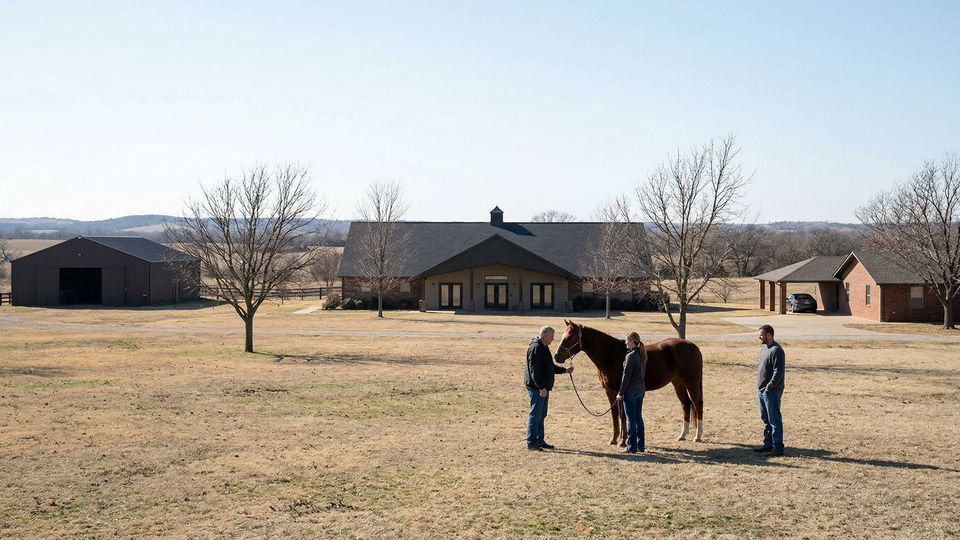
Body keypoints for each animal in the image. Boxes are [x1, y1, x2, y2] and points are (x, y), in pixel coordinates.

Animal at [553, 319, 704, 446]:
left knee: (697, 404)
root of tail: (694, 347)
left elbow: (623, 416)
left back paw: (697, 436)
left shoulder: (621, 391)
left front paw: (623, 441)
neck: (611, 355)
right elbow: (615, 415)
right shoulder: (610, 392)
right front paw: (614, 439)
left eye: (570, 336)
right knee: (686, 404)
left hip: (691, 382)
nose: (556, 356)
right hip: (678, 383)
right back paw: (682, 435)